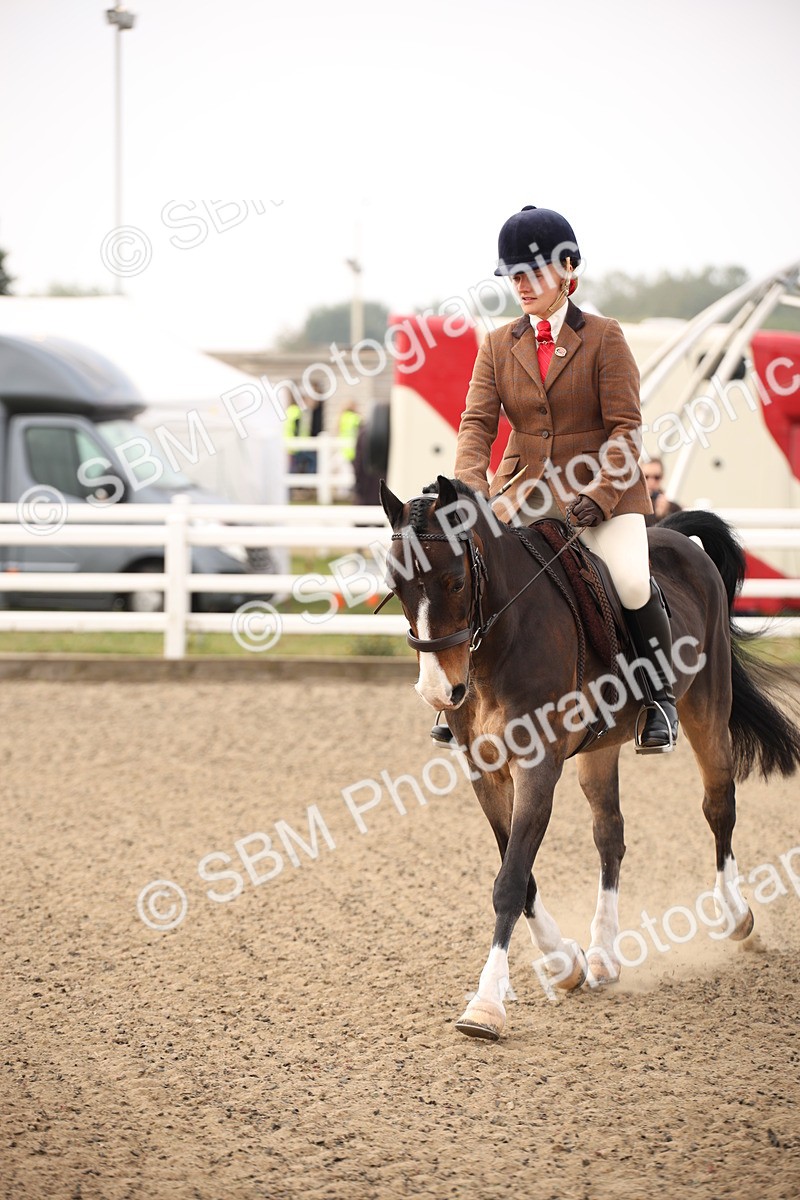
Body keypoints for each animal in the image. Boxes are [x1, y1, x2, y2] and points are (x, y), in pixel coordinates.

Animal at [379, 475, 800, 1041]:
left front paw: (485, 1005)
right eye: (397, 586)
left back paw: (737, 917)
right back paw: (603, 954)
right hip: (599, 749)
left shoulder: (537, 765)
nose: (440, 692)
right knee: (610, 836)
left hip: (707, 708)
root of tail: (672, 534)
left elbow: (511, 881)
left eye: (455, 582)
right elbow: (521, 872)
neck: (501, 642)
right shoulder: (485, 771)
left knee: (719, 805)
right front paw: (566, 964)